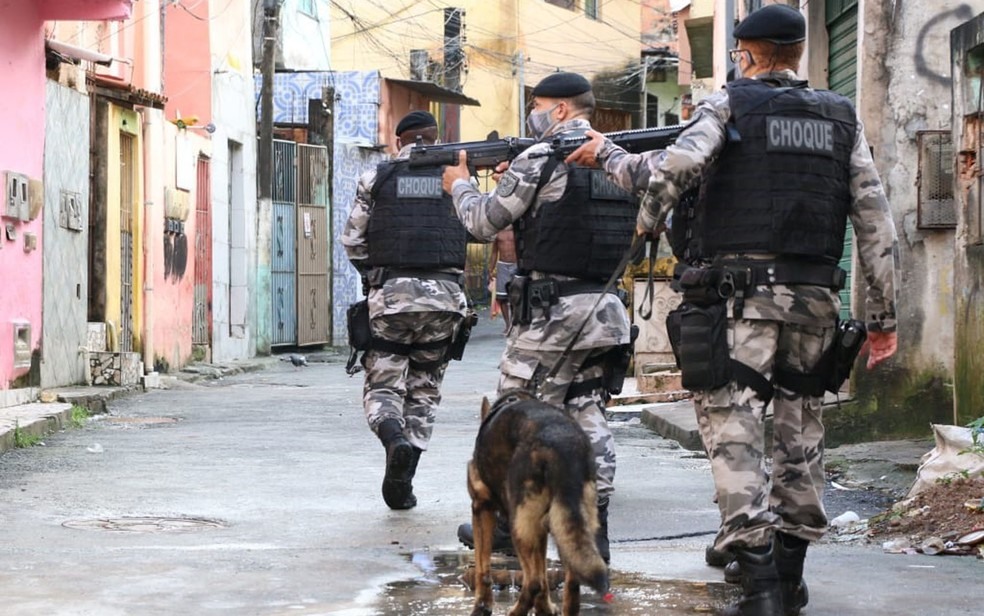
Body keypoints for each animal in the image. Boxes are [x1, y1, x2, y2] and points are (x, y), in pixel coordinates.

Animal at [468, 392, 608, 612]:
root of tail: (562, 447)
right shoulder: (540, 530)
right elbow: (543, 577)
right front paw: (545, 609)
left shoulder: (481, 507)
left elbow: (483, 568)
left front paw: (482, 606)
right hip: (570, 526)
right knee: (570, 581)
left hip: (519, 526)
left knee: (533, 582)